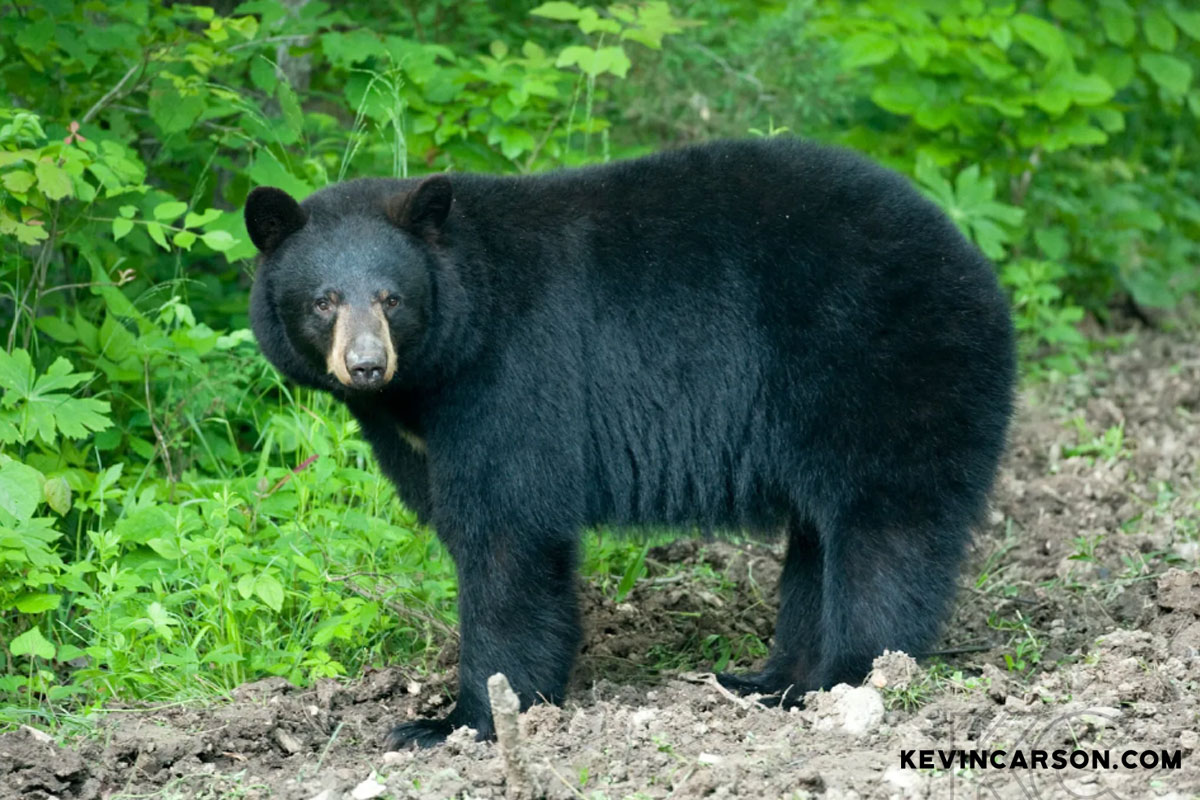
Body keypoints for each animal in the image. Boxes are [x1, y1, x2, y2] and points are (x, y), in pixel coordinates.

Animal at [246, 139, 1012, 753]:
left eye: (392, 297)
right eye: (324, 299)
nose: (367, 365)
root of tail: (973, 263)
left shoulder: (512, 378)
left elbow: (508, 535)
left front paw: (459, 721)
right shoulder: (420, 432)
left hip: (882, 369)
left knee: (884, 532)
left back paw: (851, 679)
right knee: (818, 540)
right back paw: (771, 682)